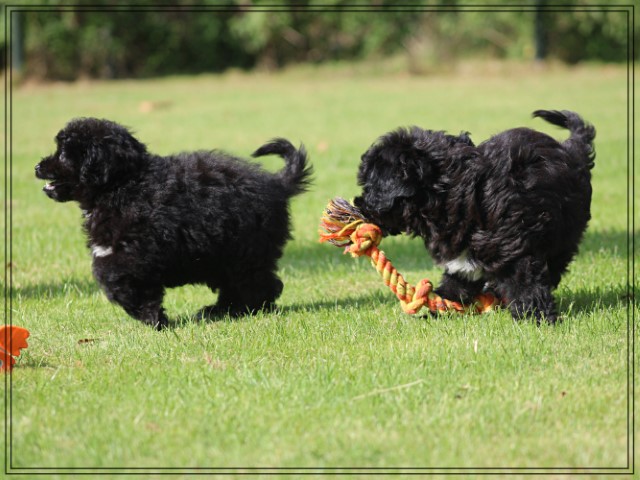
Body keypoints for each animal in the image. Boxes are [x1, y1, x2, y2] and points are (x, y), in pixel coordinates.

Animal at [36, 118, 312, 330]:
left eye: (63, 154)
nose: (38, 166)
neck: (123, 184)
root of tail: (277, 184)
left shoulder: (132, 253)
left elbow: (118, 280)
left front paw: (152, 319)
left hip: (243, 253)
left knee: (260, 284)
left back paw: (242, 309)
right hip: (223, 258)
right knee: (244, 285)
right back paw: (219, 311)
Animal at [352, 110, 592, 324]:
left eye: (369, 186)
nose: (358, 204)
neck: (457, 192)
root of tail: (572, 151)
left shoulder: (515, 246)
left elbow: (525, 283)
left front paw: (537, 318)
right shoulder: (461, 257)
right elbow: (457, 281)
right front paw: (439, 309)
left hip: (564, 233)